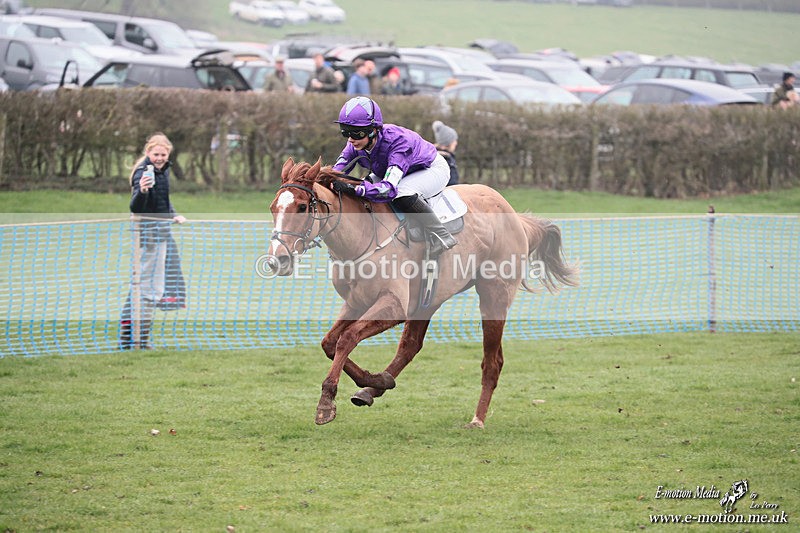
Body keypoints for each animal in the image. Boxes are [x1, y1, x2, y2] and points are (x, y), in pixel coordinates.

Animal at [267, 157, 578, 428]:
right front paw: (375, 380)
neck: (363, 237)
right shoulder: (356, 303)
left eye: (303, 207)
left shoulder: (394, 306)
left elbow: (347, 339)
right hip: (428, 299)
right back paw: (374, 388)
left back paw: (477, 419)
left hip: (494, 296)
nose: (277, 259)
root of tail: (514, 216)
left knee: (492, 362)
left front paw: (326, 402)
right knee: (410, 346)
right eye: (273, 207)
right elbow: (329, 343)